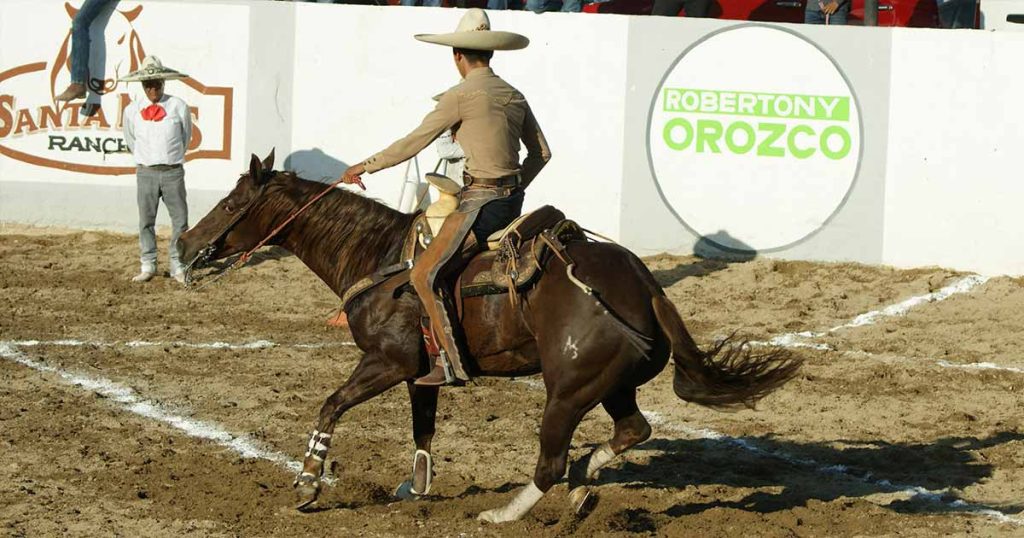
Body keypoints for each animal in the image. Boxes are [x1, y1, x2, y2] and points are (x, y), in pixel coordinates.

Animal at [176, 152, 798, 522]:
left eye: (231, 204)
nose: (182, 244)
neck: (381, 258)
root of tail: (645, 285)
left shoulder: (387, 361)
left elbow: (331, 405)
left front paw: (308, 483)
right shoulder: (419, 372)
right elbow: (422, 426)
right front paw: (416, 488)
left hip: (566, 391)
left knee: (551, 462)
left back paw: (508, 513)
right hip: (610, 382)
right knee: (631, 430)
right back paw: (583, 485)